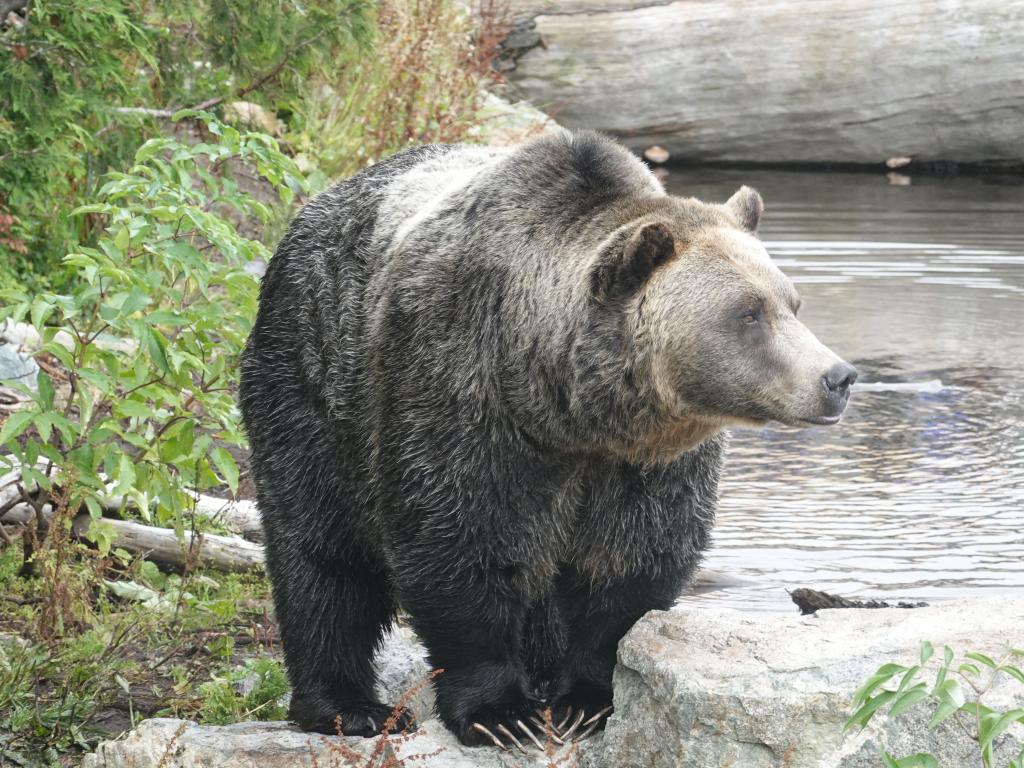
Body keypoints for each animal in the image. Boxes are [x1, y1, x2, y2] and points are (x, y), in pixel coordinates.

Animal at [239, 132, 856, 753]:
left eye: (791, 303)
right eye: (748, 313)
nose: (837, 377)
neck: (567, 409)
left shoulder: (644, 460)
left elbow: (635, 557)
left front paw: (588, 698)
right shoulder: (458, 388)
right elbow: (457, 545)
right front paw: (500, 711)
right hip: (312, 380)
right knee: (323, 552)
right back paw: (349, 706)